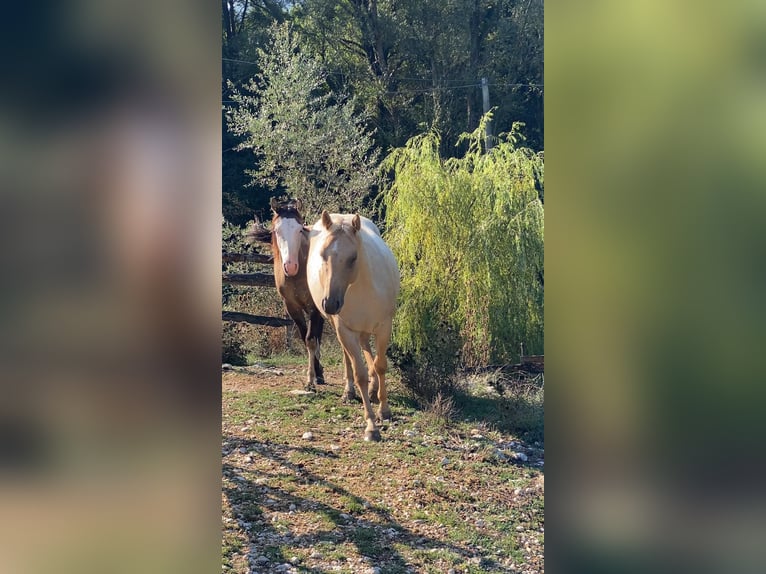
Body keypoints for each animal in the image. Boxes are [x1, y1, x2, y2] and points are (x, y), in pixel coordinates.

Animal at [268, 198, 326, 392]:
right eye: (276, 230)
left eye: (300, 229)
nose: (291, 266)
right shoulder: (292, 307)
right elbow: (304, 338)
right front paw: (314, 375)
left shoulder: (314, 307)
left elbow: (311, 339)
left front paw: (310, 380)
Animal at [308, 214, 402, 444]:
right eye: (323, 255)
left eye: (353, 258)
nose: (330, 304)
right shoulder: (345, 330)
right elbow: (359, 372)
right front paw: (371, 427)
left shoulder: (384, 327)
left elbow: (381, 365)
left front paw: (384, 410)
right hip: (341, 328)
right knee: (349, 356)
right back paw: (349, 391)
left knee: (368, 351)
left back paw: (374, 386)